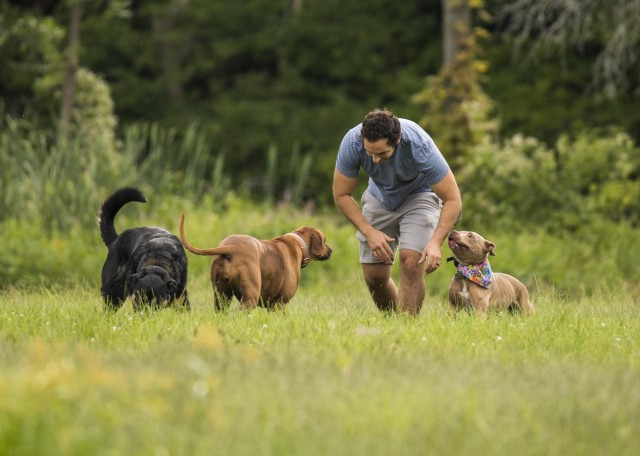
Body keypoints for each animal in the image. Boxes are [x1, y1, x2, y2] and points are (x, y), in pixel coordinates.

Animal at [179, 215, 332, 310]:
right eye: (324, 240)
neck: (298, 244)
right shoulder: (279, 304)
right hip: (250, 298)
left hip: (221, 297)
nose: (331, 251)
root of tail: (230, 247)